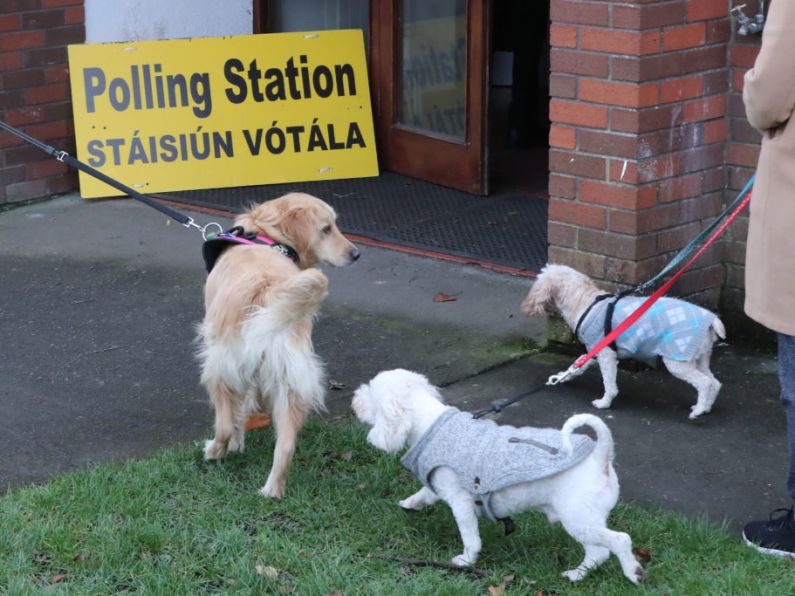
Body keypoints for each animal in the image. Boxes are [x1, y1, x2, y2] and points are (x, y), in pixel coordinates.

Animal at [354, 370, 648, 584]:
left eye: (371, 395)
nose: (354, 400)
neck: (429, 423)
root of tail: (601, 455)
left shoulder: (460, 500)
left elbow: (469, 535)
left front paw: (466, 560)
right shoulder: (440, 484)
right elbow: (425, 492)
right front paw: (410, 503)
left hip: (578, 517)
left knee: (619, 541)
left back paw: (633, 573)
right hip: (583, 519)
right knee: (598, 552)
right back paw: (576, 575)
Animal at [524, 266, 728, 420]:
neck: (585, 303)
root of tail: (712, 319)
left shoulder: (606, 354)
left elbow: (609, 384)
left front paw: (604, 403)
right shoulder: (595, 350)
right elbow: (578, 364)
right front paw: (563, 376)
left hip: (678, 360)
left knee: (704, 383)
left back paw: (699, 410)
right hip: (701, 357)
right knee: (715, 382)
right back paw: (706, 407)